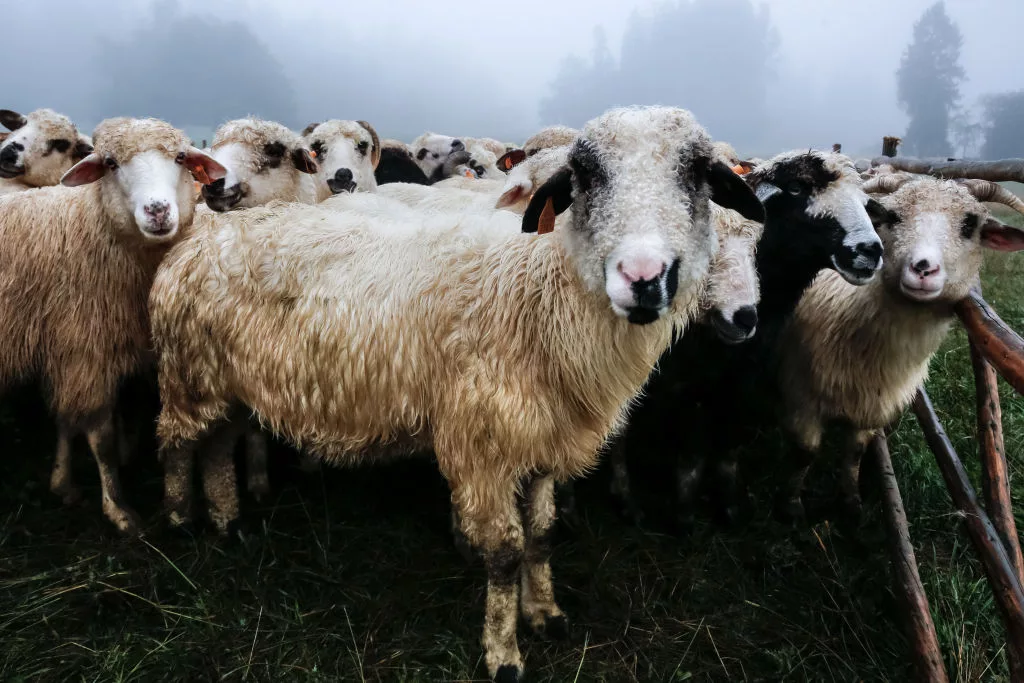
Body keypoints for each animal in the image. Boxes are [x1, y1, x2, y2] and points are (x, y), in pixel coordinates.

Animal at [0, 116, 225, 532]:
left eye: (181, 157)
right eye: (109, 163)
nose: (157, 210)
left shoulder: (71, 350)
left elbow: (66, 419)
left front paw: (63, 484)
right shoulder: (84, 349)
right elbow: (100, 439)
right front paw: (118, 509)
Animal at [148, 105, 765, 679]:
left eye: (697, 176)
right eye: (585, 175)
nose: (644, 277)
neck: (539, 294)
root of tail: (205, 232)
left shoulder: (541, 439)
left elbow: (542, 535)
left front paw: (546, 614)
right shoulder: (483, 445)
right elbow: (506, 553)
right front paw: (504, 653)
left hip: (228, 384)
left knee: (217, 447)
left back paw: (229, 522)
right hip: (188, 375)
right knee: (176, 445)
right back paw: (180, 522)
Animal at [602, 150, 884, 532]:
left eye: (865, 201)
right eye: (797, 188)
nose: (869, 250)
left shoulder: (743, 376)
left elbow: (727, 443)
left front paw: (729, 504)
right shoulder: (687, 378)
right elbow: (690, 450)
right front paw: (683, 514)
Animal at [774, 174, 1024, 528]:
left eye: (969, 225)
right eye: (892, 217)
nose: (923, 269)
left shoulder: (872, 405)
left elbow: (855, 452)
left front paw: (850, 502)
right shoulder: (799, 393)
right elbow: (806, 451)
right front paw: (791, 505)